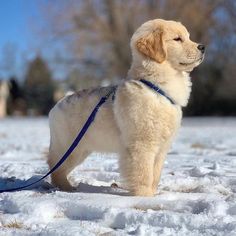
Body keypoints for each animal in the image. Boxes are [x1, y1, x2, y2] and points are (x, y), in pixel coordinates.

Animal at [47, 18, 205, 196]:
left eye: (188, 37)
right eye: (178, 39)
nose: (202, 47)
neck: (157, 87)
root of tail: (58, 103)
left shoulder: (161, 148)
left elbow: (155, 175)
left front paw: (153, 194)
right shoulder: (142, 145)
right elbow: (144, 174)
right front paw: (145, 196)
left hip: (81, 149)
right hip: (69, 147)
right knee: (55, 167)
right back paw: (66, 188)